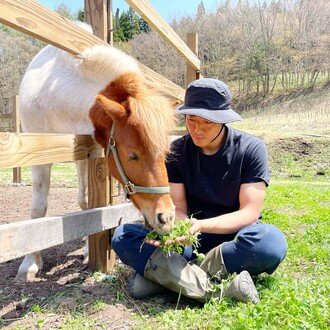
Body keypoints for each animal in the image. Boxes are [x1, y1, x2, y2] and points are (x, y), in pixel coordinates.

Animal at [17, 27, 178, 282]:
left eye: (164, 153)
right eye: (133, 155)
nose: (167, 218)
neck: (56, 89)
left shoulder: (88, 152)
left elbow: (85, 204)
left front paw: (86, 248)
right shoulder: (37, 151)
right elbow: (38, 208)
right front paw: (30, 262)